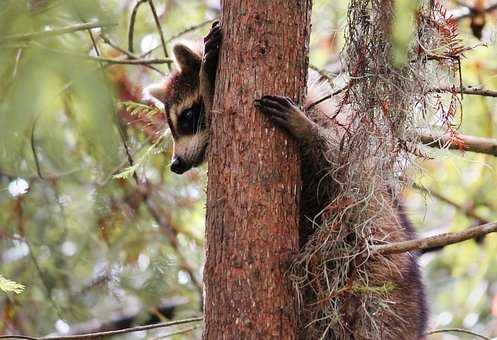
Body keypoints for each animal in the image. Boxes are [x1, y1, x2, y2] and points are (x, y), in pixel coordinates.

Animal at [143, 22, 426, 338]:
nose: (176, 165)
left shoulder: (334, 136)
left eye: (188, 116)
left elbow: (335, 163)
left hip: (378, 273)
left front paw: (207, 73)